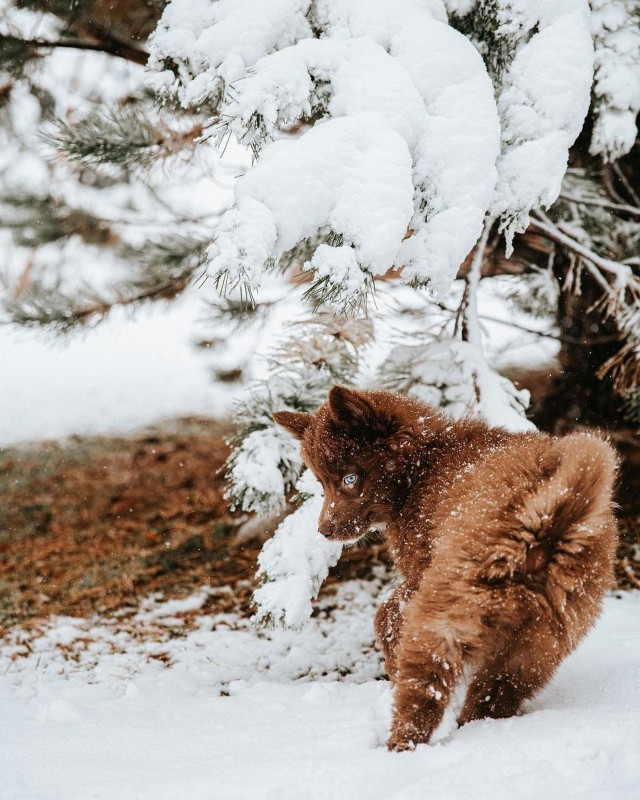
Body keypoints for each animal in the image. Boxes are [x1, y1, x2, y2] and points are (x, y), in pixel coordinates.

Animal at [276, 386, 620, 752]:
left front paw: (392, 664)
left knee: (426, 686)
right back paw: (475, 727)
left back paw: (398, 746)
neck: (425, 465)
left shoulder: (423, 569)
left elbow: (386, 614)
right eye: (322, 483)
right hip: (541, 639)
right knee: (496, 692)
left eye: (350, 478)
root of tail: (544, 524)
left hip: (450, 605)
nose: (323, 531)